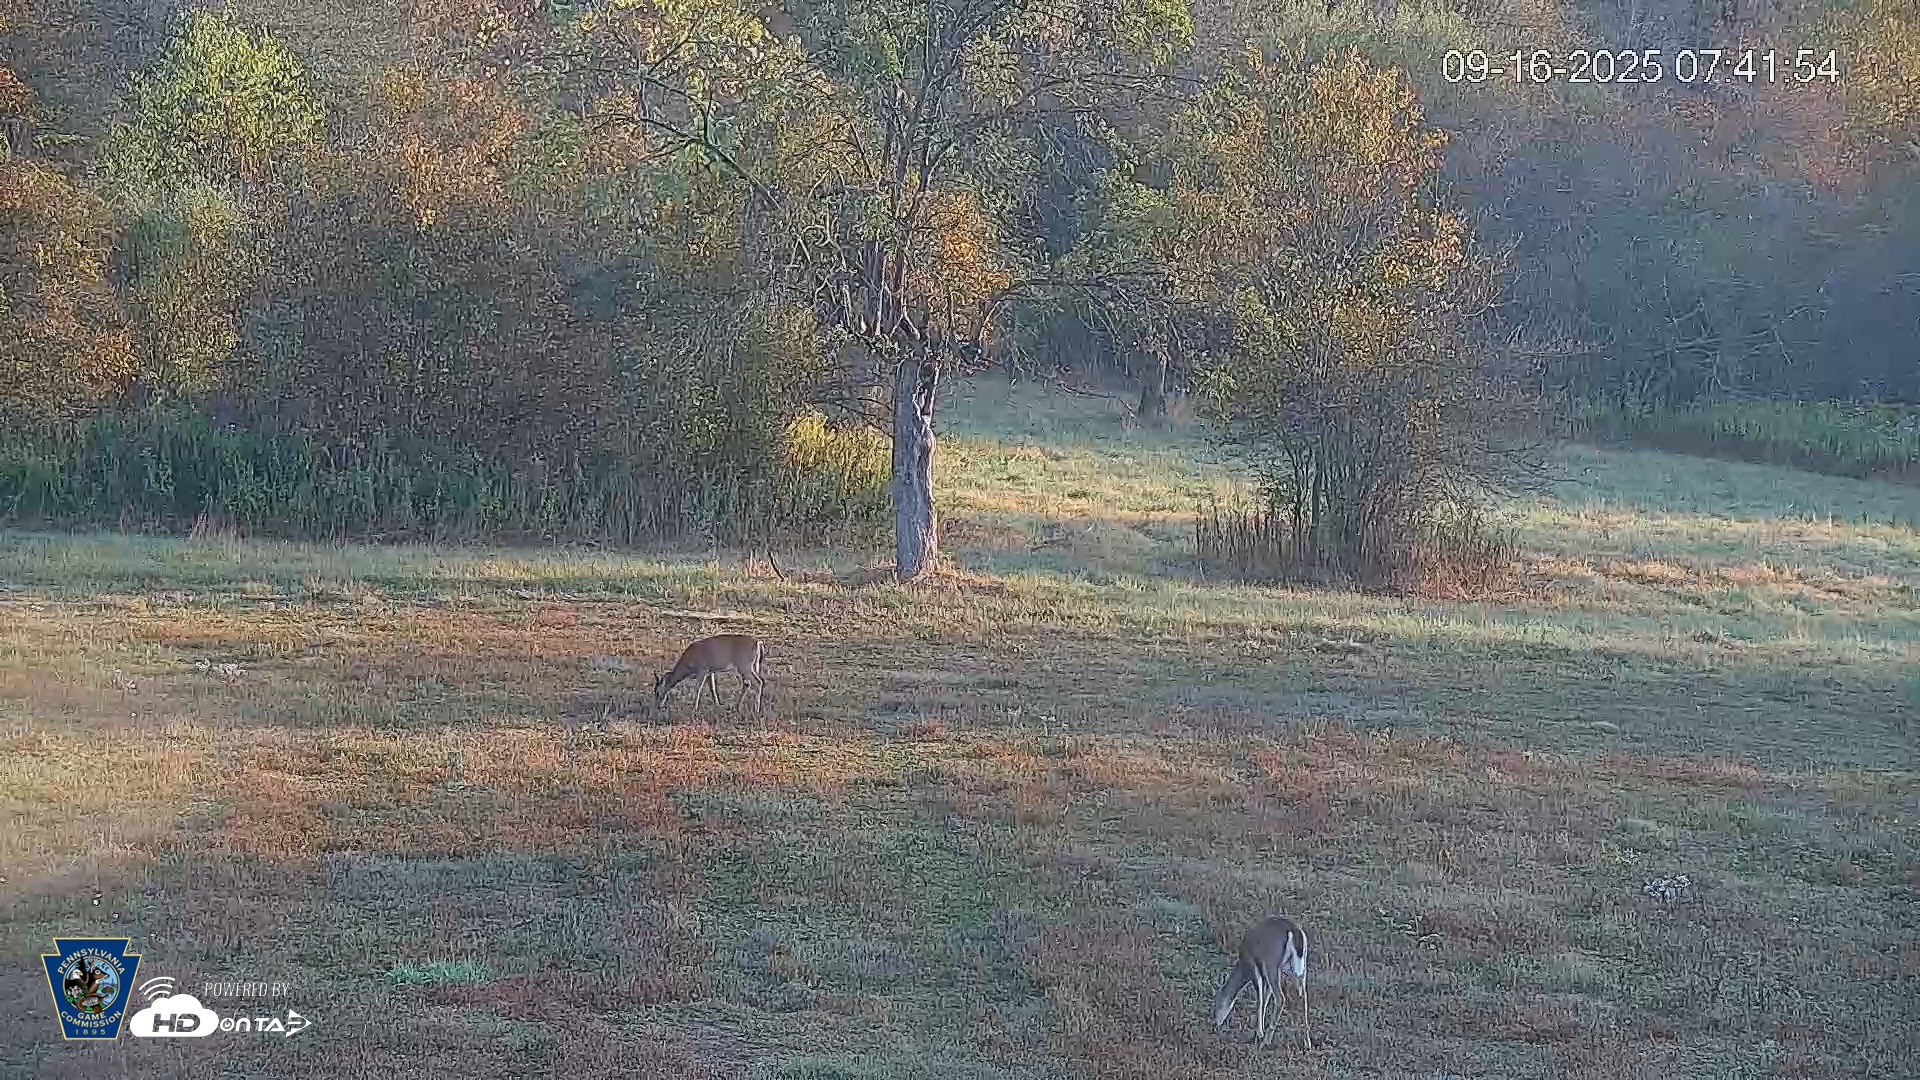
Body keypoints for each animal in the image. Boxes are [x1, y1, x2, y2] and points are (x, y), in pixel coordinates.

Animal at [1213, 915, 1311, 1051]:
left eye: (1216, 1002)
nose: (1216, 1024)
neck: (1243, 966)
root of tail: (1294, 931)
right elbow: (1265, 998)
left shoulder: (1253, 964)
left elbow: (1260, 998)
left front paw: (1259, 1033)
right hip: (1299, 968)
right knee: (1303, 996)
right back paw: (1307, 1043)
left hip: (1272, 963)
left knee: (1280, 998)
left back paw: (1266, 1041)